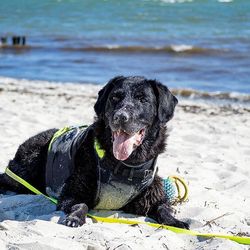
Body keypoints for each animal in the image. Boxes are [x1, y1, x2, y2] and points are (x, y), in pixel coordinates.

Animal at [0, 75, 188, 229]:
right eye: (114, 98)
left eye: (143, 100)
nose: (120, 117)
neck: (125, 165)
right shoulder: (71, 193)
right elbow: (81, 205)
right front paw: (75, 218)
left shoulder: (151, 197)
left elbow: (163, 207)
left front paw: (175, 221)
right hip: (25, 170)